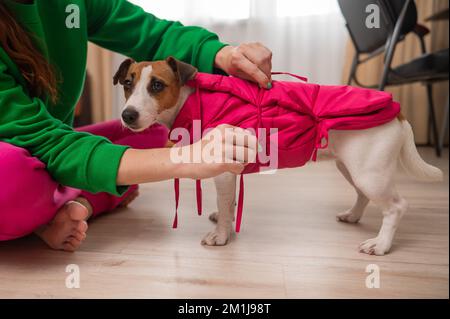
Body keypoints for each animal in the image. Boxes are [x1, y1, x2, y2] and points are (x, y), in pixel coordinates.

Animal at [112, 57, 442, 258]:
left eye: (157, 85)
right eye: (128, 83)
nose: (127, 115)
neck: (190, 100)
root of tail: (397, 112)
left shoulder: (223, 171)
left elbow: (225, 204)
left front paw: (221, 235)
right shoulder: (231, 169)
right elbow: (229, 203)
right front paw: (226, 218)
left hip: (370, 173)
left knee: (396, 207)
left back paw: (381, 244)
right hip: (352, 168)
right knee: (363, 195)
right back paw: (353, 215)